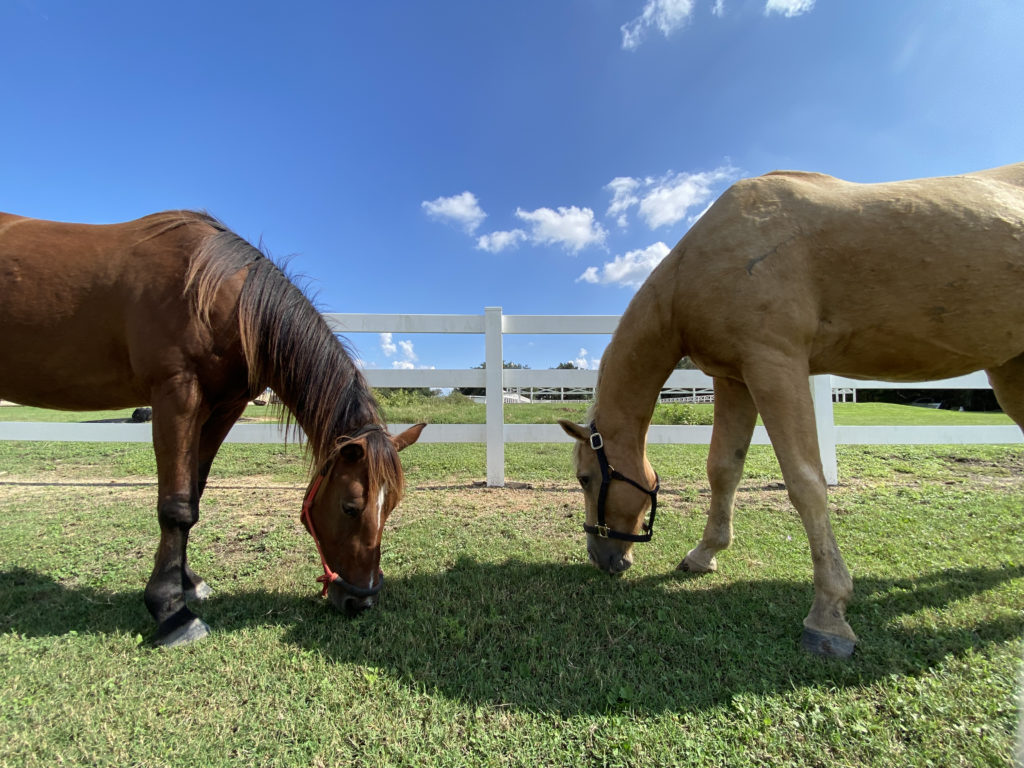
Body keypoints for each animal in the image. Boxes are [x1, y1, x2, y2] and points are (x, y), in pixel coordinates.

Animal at [0, 210, 425, 647]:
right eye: (350, 507)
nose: (363, 601)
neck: (219, 295)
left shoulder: (223, 407)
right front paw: (172, 612)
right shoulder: (176, 393)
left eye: (391, 506)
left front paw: (187, 583)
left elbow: (195, 491)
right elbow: (176, 505)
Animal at [559, 162, 1024, 658]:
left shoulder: (775, 365)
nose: (602, 557)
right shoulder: (735, 379)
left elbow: (805, 484)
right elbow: (723, 469)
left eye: (584, 478)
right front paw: (705, 554)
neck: (698, 264)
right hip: (1011, 371)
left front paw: (829, 614)